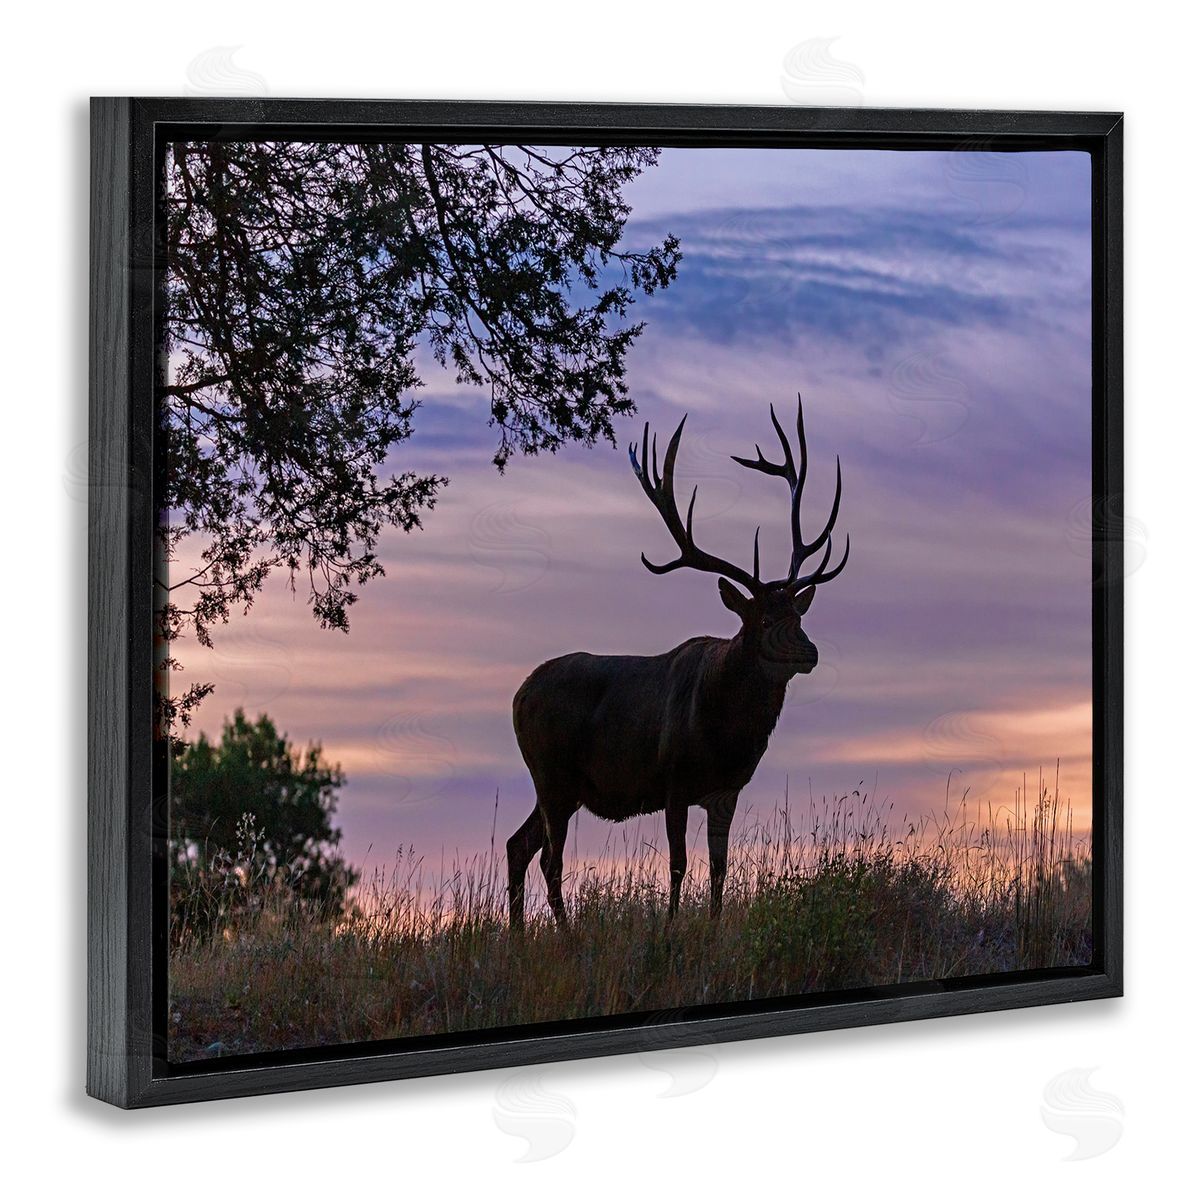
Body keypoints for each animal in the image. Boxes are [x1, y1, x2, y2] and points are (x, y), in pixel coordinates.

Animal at [507, 394, 849, 929]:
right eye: (763, 618)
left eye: (798, 613)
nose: (810, 652)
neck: (726, 734)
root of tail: (517, 696)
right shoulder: (673, 780)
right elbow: (678, 863)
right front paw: (669, 930)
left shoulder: (726, 790)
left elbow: (720, 866)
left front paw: (711, 928)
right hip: (551, 773)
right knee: (549, 857)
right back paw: (565, 935)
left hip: (559, 785)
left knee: (517, 844)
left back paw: (521, 935)